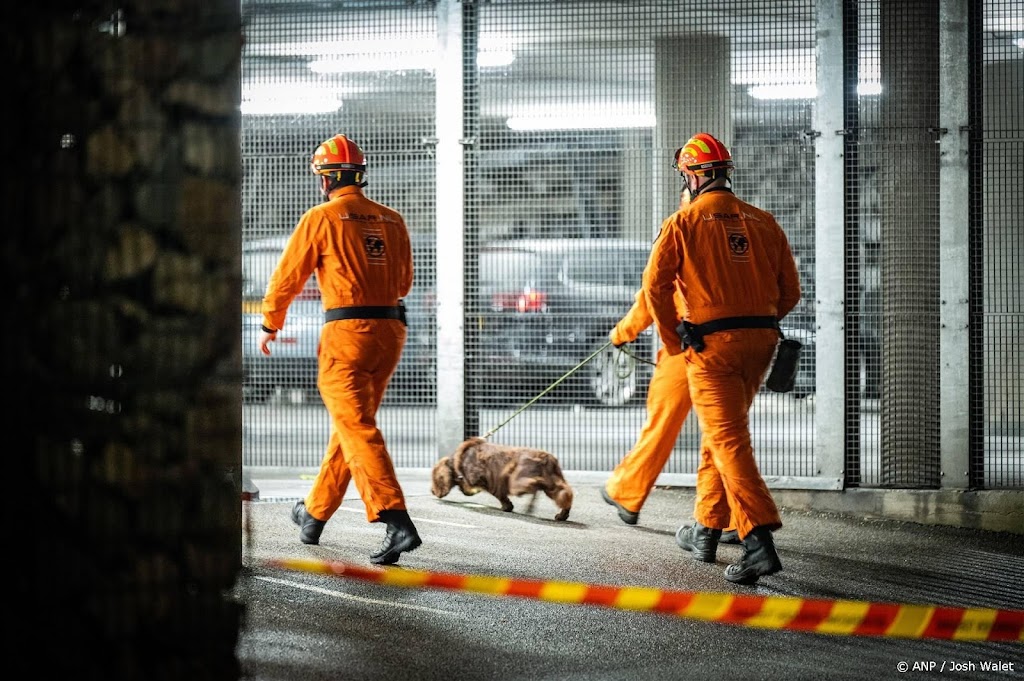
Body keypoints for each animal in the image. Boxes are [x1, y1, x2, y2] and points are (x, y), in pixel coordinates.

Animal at [428, 436, 573, 520]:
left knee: (537, 484)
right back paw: (562, 515)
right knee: (565, 493)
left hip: (517, 482)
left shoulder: (486, 480)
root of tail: (546, 458)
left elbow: (498, 494)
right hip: (553, 483)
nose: (432, 491)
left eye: (434, 478)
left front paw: (506, 507)